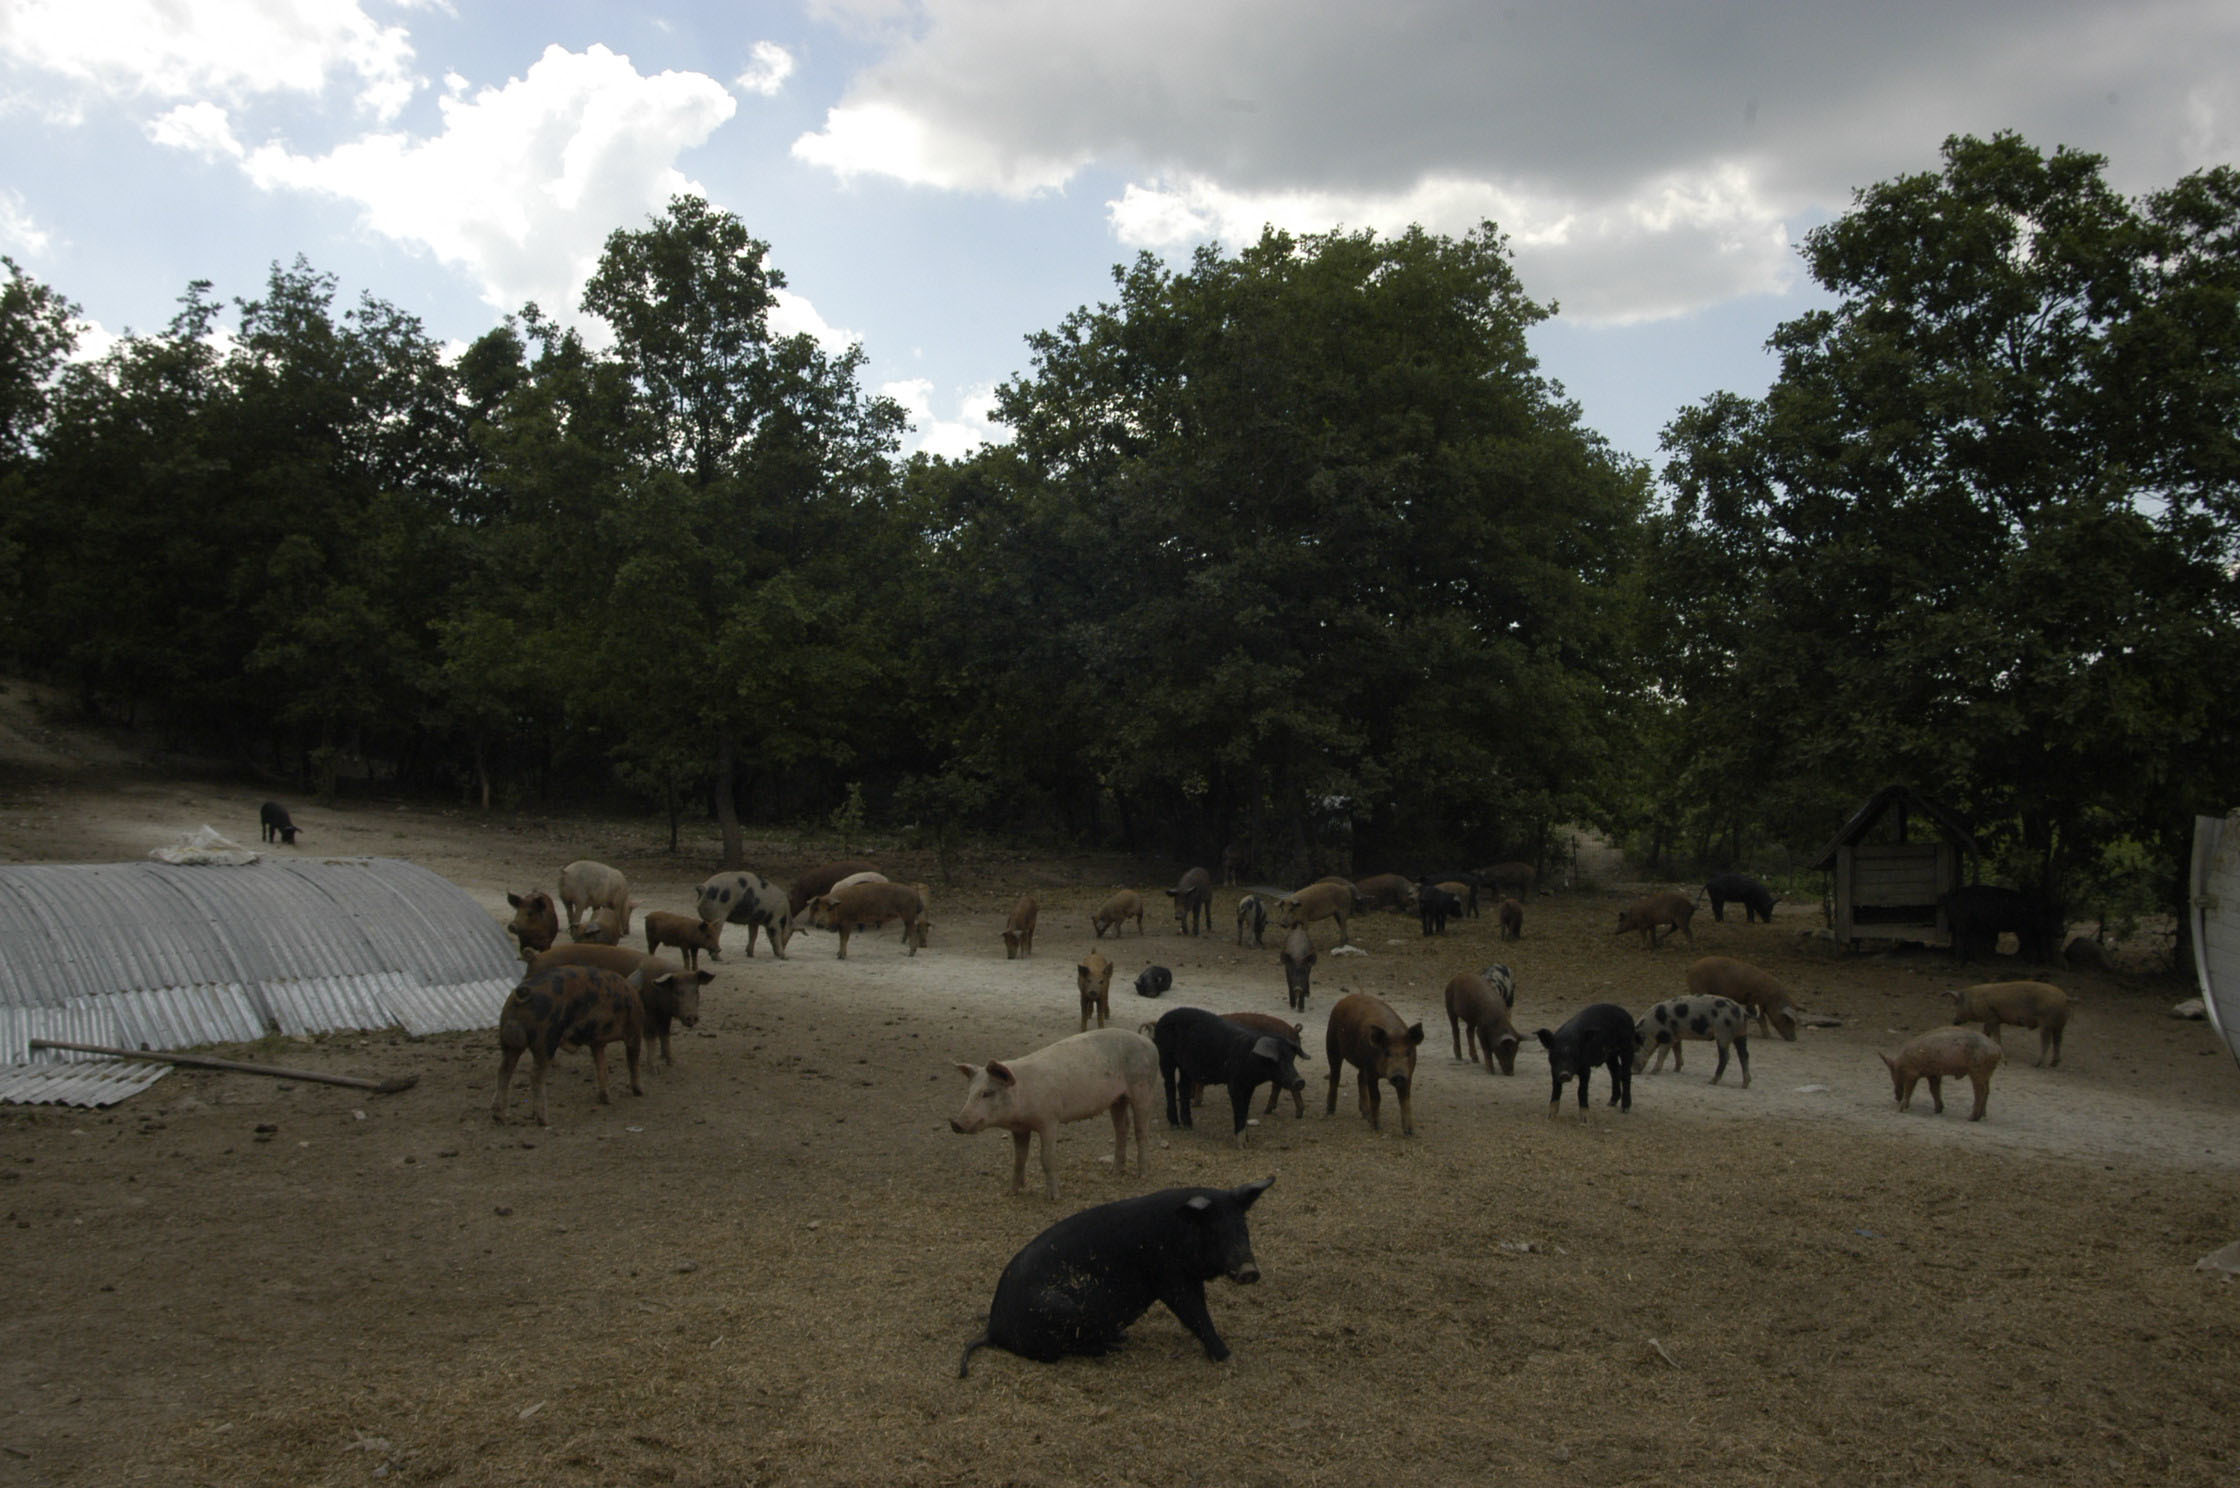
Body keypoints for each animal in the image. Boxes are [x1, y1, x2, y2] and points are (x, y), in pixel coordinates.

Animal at [958, 1183, 1281, 1380]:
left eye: (1243, 1228)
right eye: (1215, 1231)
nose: (1250, 1270)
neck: (1179, 1232)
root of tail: (993, 1330)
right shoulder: (1169, 1277)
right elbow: (1194, 1314)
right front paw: (1227, 1357)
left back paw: (1120, 1338)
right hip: (1061, 1311)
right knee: (1063, 1352)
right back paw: (1114, 1347)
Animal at [1317, 994, 1424, 1133]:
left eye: (1408, 1052)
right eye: (1386, 1052)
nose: (1398, 1075)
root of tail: (1344, 999)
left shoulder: (1409, 1073)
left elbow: (1405, 1099)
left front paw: (1410, 1132)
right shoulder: (1372, 1071)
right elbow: (1376, 1096)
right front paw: (1377, 1128)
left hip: (1362, 1063)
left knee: (1359, 1078)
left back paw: (1366, 1115)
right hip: (1332, 1044)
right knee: (1335, 1076)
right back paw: (1330, 1112)